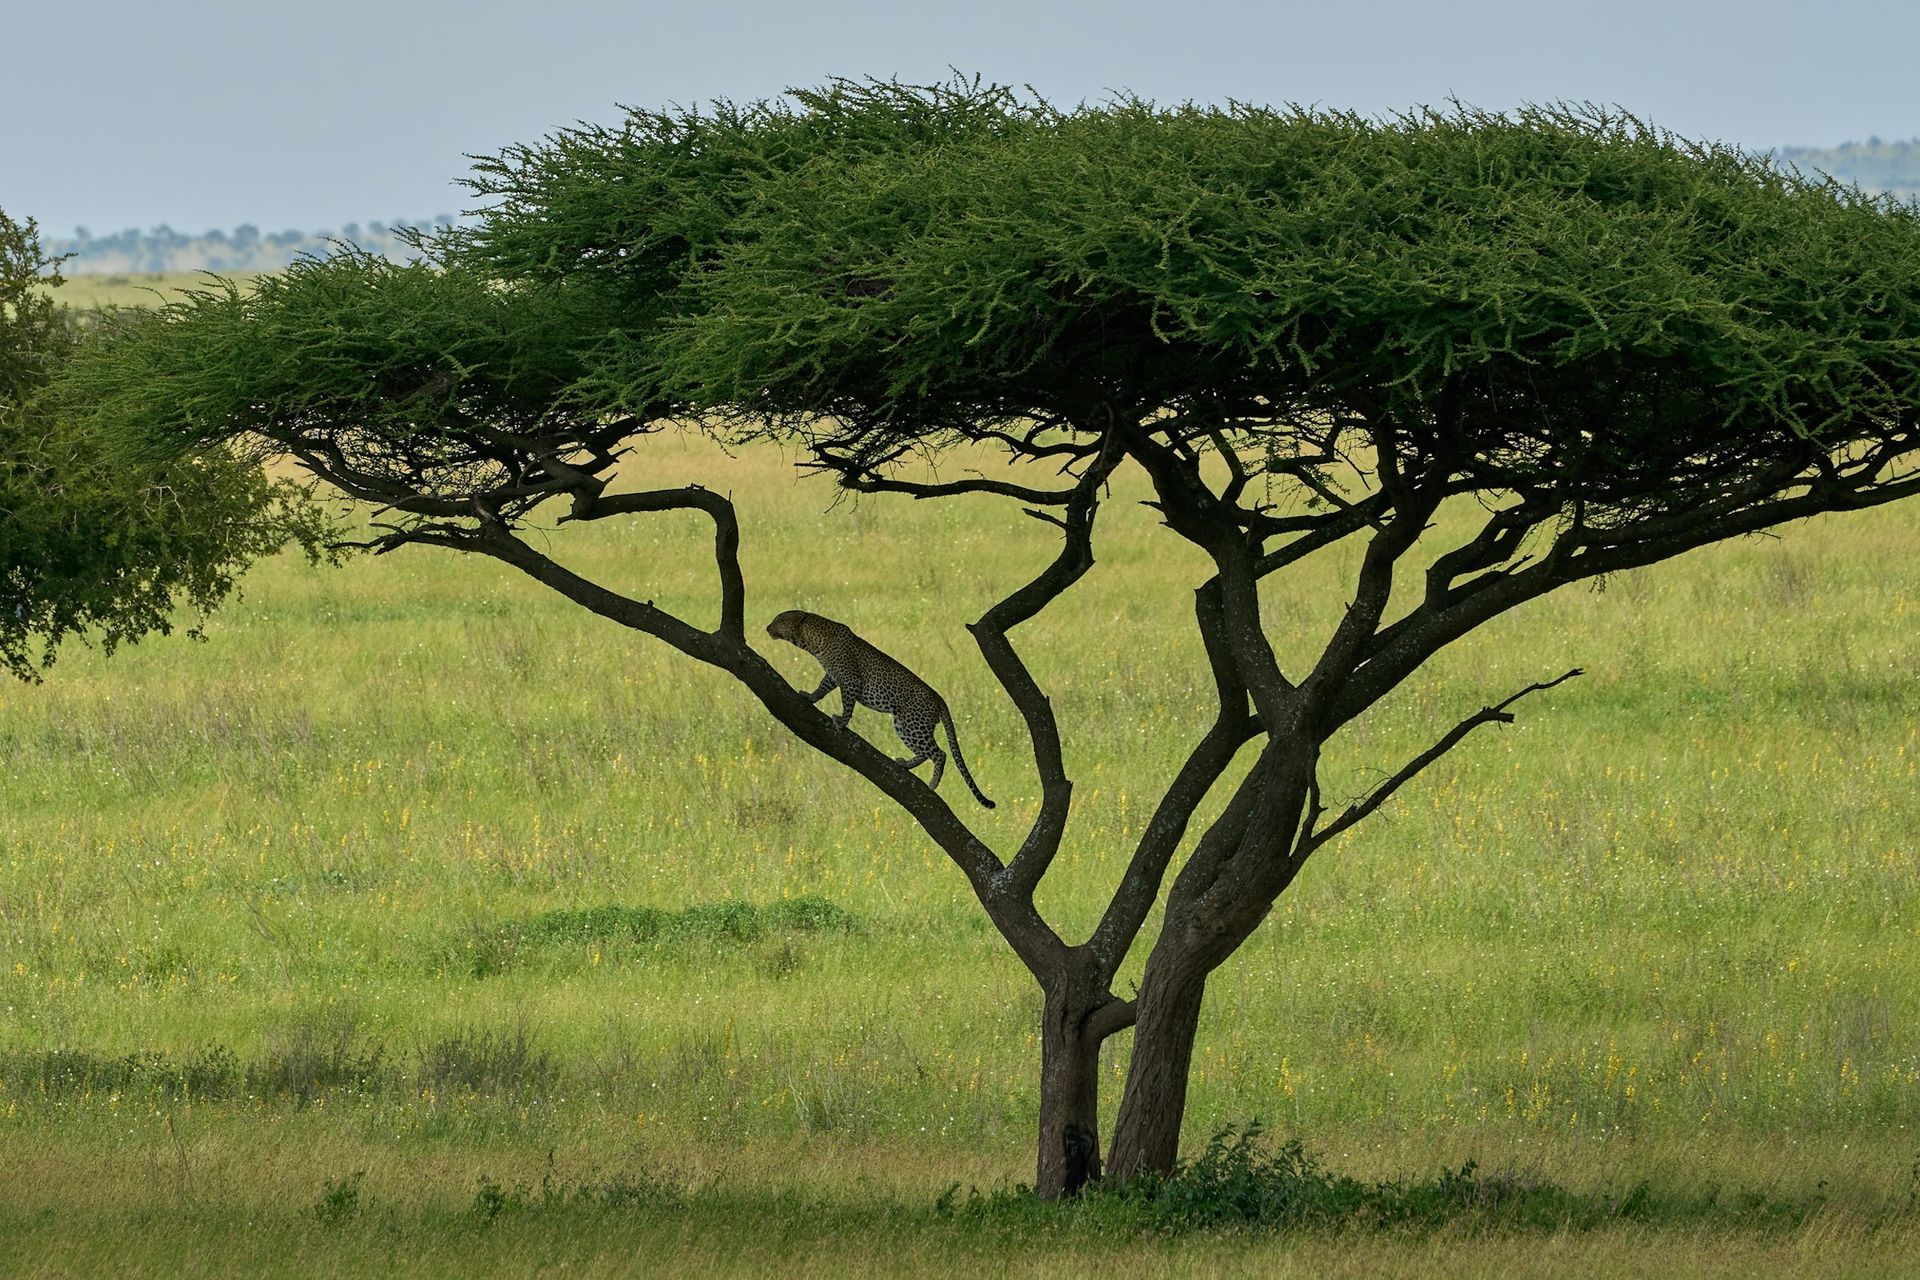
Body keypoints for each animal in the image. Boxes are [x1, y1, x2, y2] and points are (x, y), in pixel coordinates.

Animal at [766, 609, 995, 808]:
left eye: (780, 619)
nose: (767, 627)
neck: (812, 640)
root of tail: (940, 699)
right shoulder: (833, 676)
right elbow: (822, 688)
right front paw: (810, 697)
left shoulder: (850, 680)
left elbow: (847, 705)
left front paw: (841, 721)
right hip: (903, 724)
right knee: (926, 752)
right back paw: (905, 765)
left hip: (913, 724)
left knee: (940, 753)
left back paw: (933, 784)